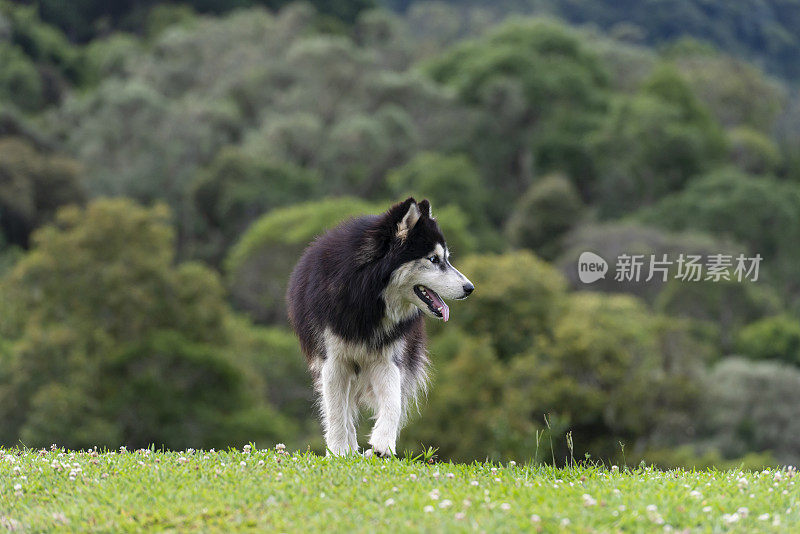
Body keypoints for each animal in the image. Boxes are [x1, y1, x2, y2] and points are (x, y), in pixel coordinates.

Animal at [288, 199, 476, 458]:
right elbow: (336, 411)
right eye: (433, 260)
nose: (470, 288)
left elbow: (393, 404)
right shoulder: (333, 362)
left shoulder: (387, 361)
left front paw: (382, 445)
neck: (367, 296)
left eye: (446, 258)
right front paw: (339, 451)